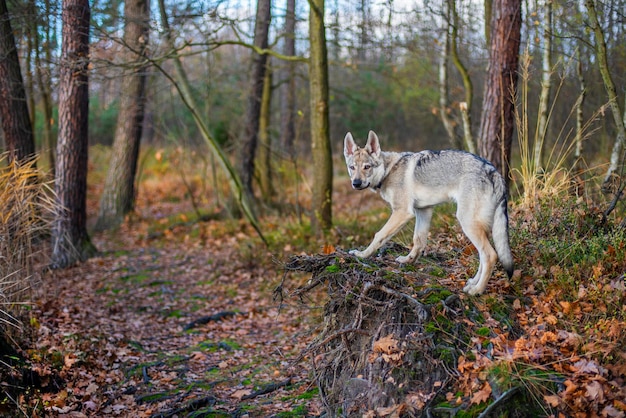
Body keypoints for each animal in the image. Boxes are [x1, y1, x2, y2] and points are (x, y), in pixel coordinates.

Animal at [342, 129, 512, 296]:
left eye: (367, 167)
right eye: (352, 167)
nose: (356, 183)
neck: (388, 171)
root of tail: (493, 170)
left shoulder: (402, 212)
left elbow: (379, 236)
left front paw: (362, 255)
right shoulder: (424, 211)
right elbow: (418, 241)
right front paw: (408, 260)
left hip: (467, 223)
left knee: (490, 256)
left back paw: (477, 290)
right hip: (478, 227)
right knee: (483, 256)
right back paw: (472, 283)